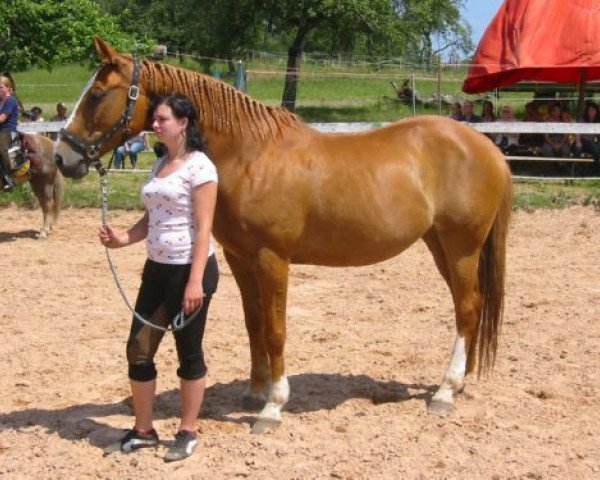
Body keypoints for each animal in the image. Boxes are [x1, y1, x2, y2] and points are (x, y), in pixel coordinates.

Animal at [55, 39, 510, 434]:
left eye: (97, 94)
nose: (62, 157)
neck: (251, 155)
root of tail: (486, 147)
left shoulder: (272, 257)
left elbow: (275, 329)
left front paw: (273, 407)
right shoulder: (240, 258)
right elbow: (253, 322)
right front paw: (255, 391)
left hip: (462, 246)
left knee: (467, 308)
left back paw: (445, 391)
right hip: (440, 245)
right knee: (471, 306)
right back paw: (460, 381)